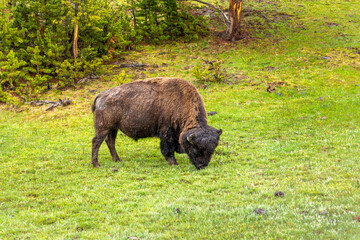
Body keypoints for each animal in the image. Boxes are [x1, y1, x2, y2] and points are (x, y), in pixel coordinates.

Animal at [91, 78, 221, 170]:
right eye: (194, 149)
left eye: (212, 149)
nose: (202, 166)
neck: (181, 102)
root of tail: (100, 95)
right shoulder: (167, 133)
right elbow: (168, 148)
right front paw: (174, 163)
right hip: (104, 128)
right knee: (96, 142)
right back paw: (96, 164)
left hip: (113, 129)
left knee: (110, 142)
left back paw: (117, 160)